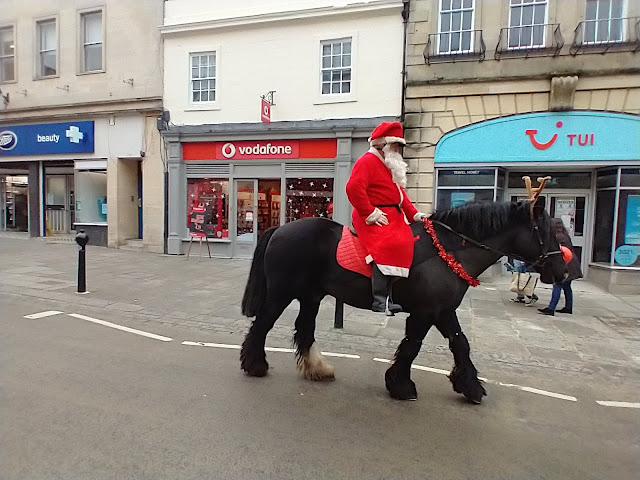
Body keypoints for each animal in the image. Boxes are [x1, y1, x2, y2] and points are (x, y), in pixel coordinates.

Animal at [239, 201, 564, 404]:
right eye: (548, 232)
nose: (562, 271)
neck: (449, 251)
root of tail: (280, 229)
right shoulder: (426, 311)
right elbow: (412, 346)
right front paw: (401, 384)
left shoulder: (443, 310)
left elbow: (459, 343)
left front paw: (469, 386)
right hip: (281, 294)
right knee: (263, 324)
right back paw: (255, 365)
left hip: (311, 296)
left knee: (304, 328)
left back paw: (317, 369)